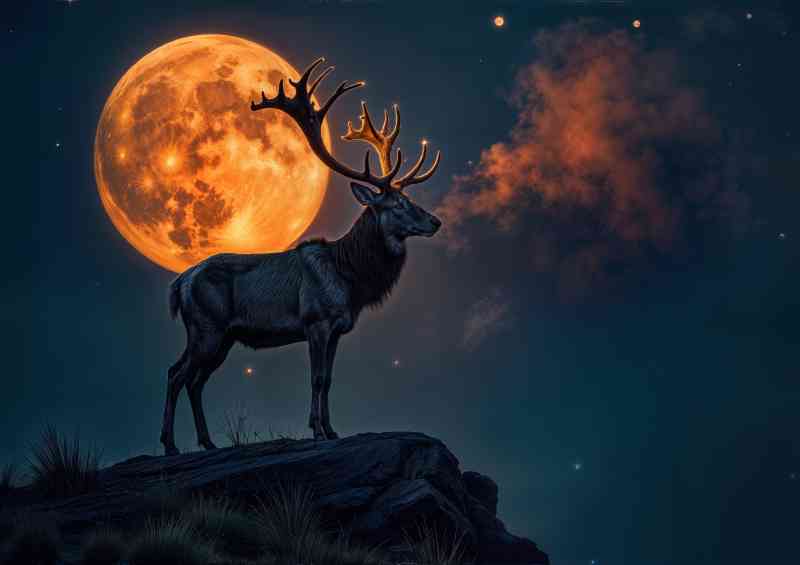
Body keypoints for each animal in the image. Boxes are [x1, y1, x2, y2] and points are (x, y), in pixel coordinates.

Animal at [160, 58, 442, 455]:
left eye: (410, 198)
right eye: (398, 204)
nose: (435, 221)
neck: (350, 279)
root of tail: (179, 282)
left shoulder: (338, 328)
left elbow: (330, 379)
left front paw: (333, 430)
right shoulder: (315, 320)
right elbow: (317, 378)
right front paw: (317, 431)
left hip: (222, 336)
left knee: (194, 380)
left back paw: (207, 441)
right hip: (205, 326)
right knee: (176, 374)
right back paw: (170, 445)